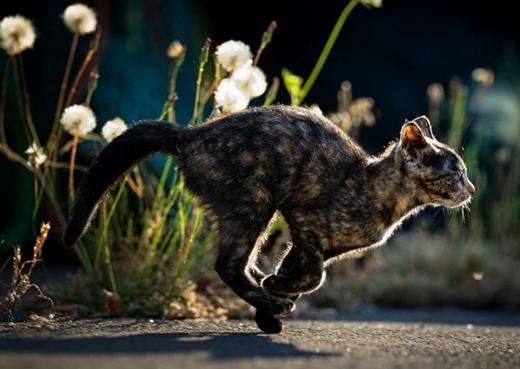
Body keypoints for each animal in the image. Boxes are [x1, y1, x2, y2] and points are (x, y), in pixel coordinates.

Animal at [63, 105, 474, 332]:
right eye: (455, 174)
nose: (470, 189)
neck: (380, 193)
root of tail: (191, 135)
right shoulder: (304, 220)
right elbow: (316, 276)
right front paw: (276, 291)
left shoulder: (310, 244)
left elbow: (303, 272)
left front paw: (273, 292)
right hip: (255, 203)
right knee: (228, 264)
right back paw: (272, 303)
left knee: (241, 264)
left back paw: (268, 302)